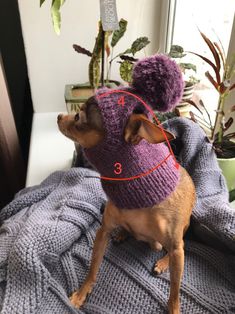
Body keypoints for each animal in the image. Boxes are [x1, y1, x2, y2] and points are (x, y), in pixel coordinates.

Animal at [57, 96, 196, 314]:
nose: (58, 116)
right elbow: (93, 267)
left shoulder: (176, 247)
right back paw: (123, 233)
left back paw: (163, 262)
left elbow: (175, 290)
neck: (137, 198)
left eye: (78, 116)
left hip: (182, 233)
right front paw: (81, 293)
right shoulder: (103, 231)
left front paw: (174, 309)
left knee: (179, 248)